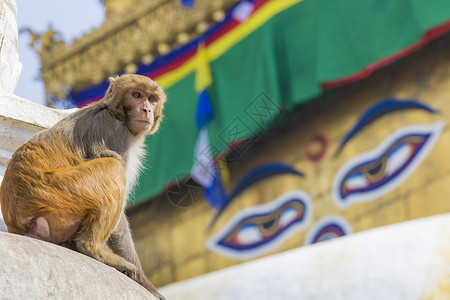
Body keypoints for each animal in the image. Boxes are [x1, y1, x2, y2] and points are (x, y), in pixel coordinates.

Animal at [0, 74, 167, 298]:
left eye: (152, 98)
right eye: (137, 95)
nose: (146, 110)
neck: (116, 113)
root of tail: (16, 218)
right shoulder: (115, 133)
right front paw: (145, 282)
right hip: (60, 194)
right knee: (113, 167)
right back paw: (91, 249)